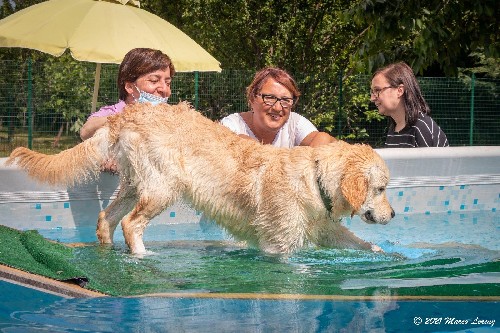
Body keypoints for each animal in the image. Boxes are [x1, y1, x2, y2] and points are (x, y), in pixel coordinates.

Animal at [5, 102, 392, 253]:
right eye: (381, 188)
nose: (391, 215)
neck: (313, 177)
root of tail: (128, 114)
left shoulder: (324, 229)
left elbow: (359, 243)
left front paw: (386, 254)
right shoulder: (280, 245)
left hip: (133, 184)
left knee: (106, 218)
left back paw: (108, 249)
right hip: (164, 186)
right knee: (131, 224)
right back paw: (142, 255)